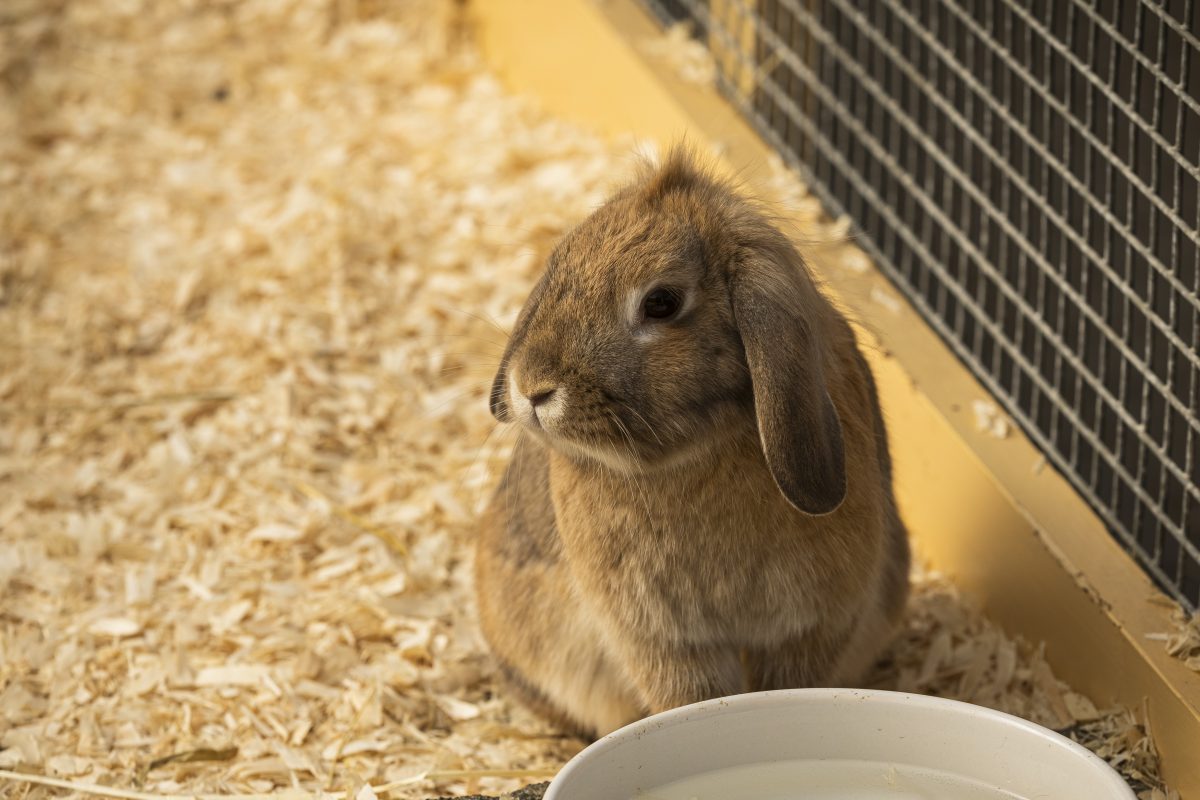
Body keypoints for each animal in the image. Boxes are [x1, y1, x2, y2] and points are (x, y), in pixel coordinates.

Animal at [474, 147, 910, 739]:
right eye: (559, 263)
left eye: (661, 303)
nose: (532, 388)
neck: (697, 452)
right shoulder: (665, 640)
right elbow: (692, 697)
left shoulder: (810, 625)